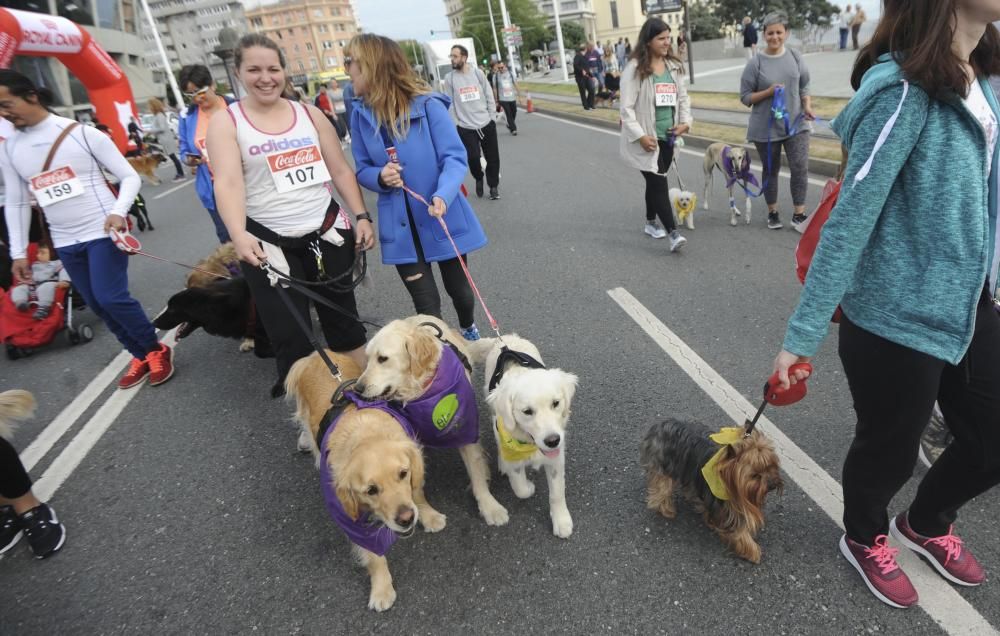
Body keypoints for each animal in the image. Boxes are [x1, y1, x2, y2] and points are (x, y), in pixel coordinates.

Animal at [288, 350, 448, 608]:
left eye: (403, 474)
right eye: (371, 490)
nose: (406, 518)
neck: (366, 436)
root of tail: (313, 355)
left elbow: (417, 492)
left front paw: (429, 515)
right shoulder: (349, 518)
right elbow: (374, 556)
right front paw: (381, 590)